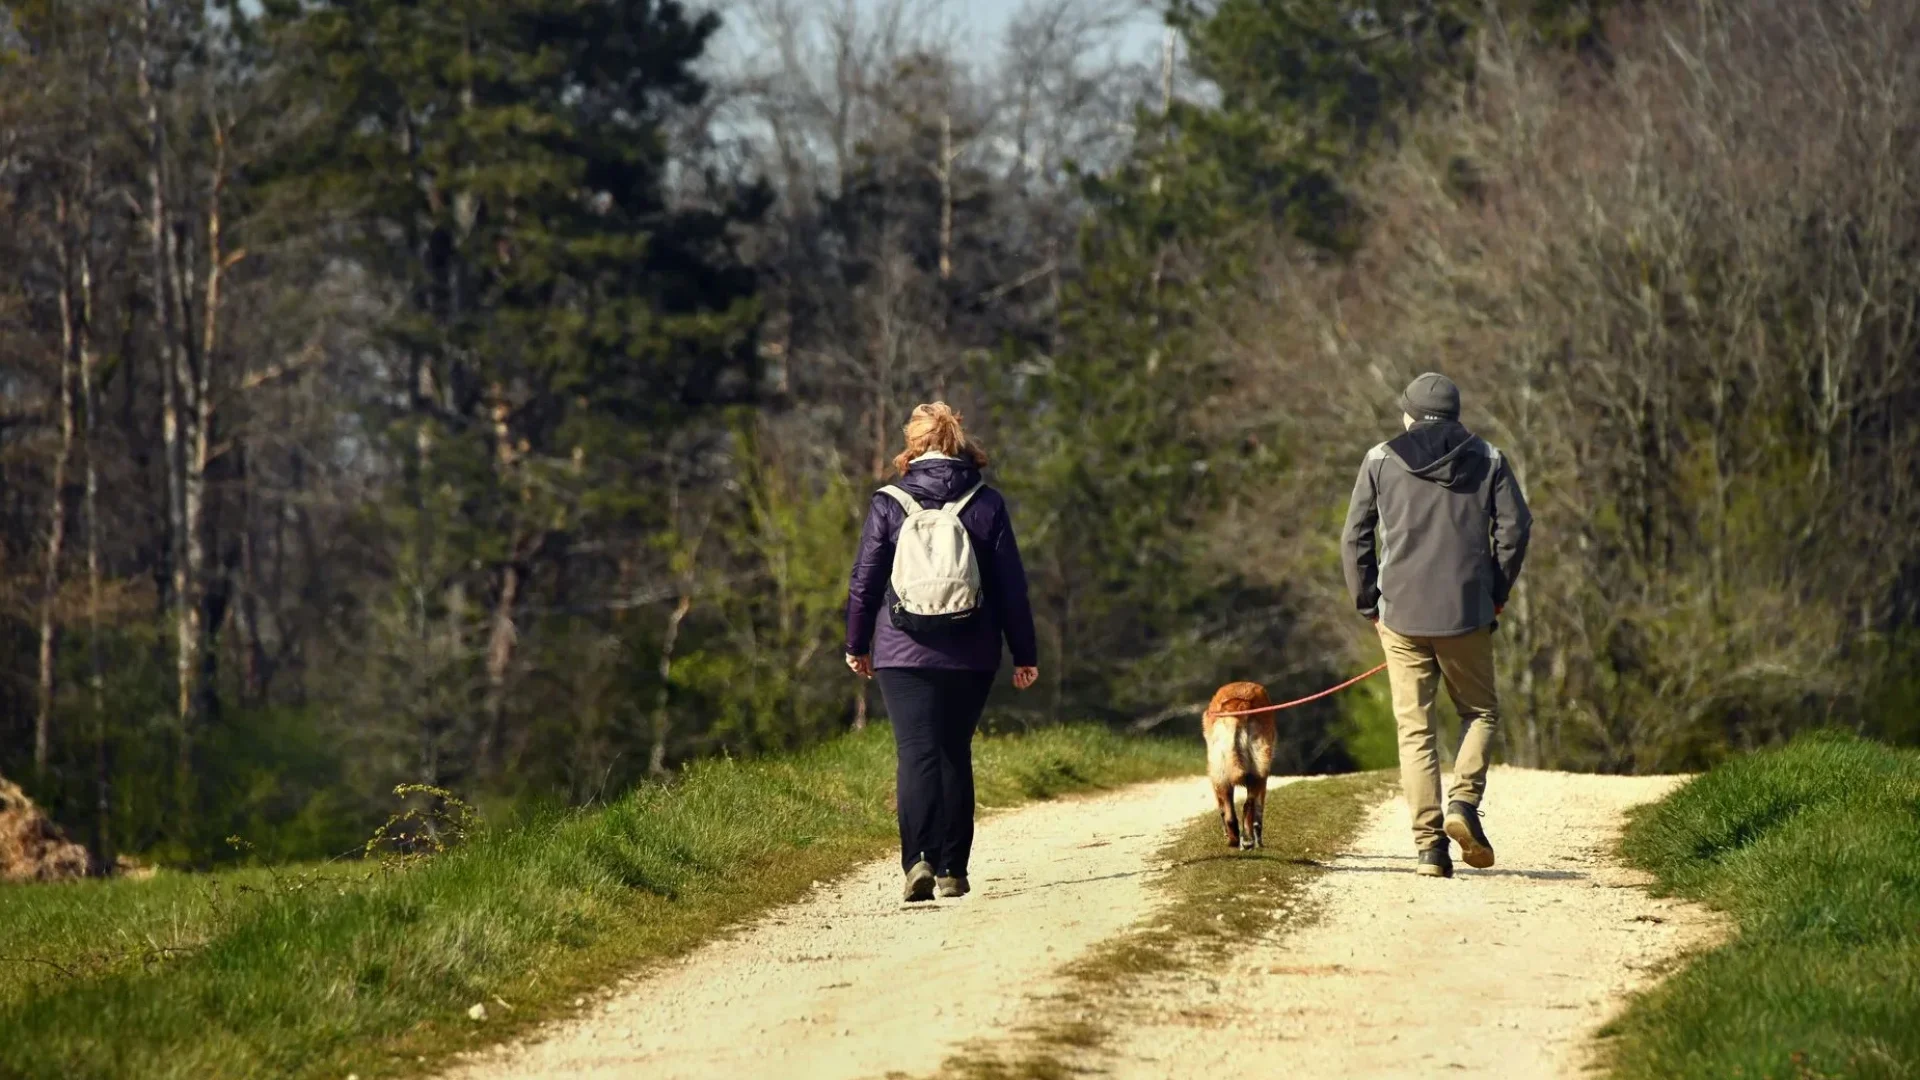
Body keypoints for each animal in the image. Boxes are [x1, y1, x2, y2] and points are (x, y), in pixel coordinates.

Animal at [1198, 680, 1274, 849]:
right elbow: (1258, 816)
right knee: (1247, 807)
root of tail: (1240, 705)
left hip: (1224, 774)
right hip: (1257, 772)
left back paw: (1236, 841)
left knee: (1232, 815)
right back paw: (1247, 840)